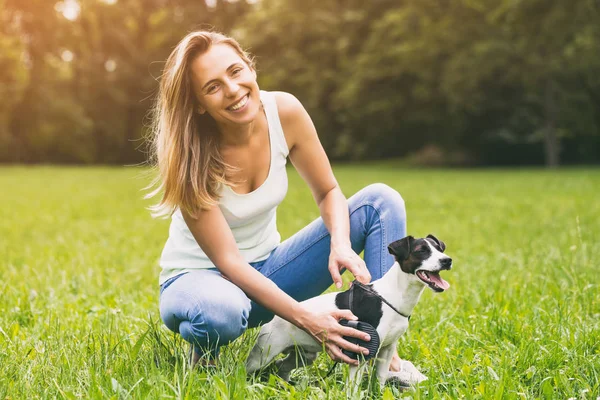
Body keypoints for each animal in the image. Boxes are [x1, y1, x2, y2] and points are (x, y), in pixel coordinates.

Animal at [244, 234, 450, 390]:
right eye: (421, 251)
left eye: (439, 249)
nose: (447, 260)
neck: (393, 296)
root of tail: (272, 319)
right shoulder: (360, 352)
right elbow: (353, 388)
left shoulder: (386, 350)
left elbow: (380, 380)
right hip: (263, 354)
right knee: (250, 369)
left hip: (304, 356)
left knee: (281, 367)